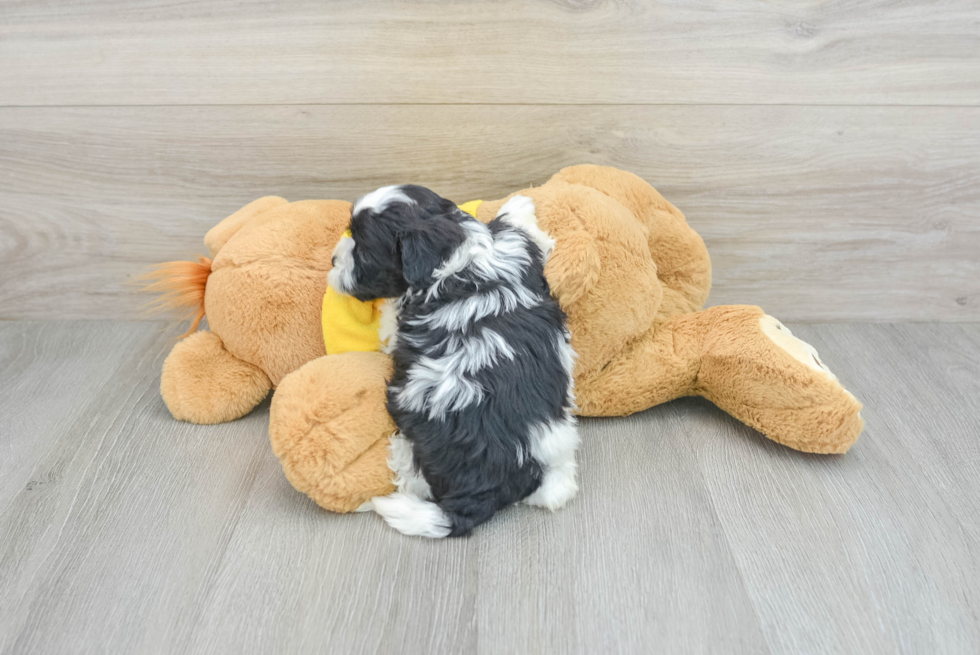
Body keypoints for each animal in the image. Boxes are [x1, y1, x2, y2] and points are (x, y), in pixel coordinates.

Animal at [330, 184, 580, 540]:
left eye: (363, 253)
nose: (333, 259)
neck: (453, 260)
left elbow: (390, 326)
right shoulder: (515, 254)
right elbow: (517, 232)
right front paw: (519, 206)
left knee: (412, 475)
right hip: (557, 442)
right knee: (555, 492)